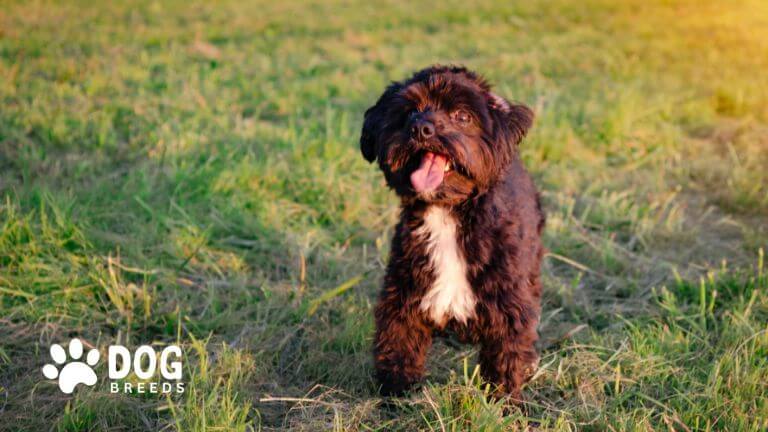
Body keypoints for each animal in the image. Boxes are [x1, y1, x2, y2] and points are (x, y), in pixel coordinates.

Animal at [360, 66, 544, 400]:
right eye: (410, 112)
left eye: (462, 116)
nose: (421, 129)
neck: (448, 213)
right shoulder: (404, 293)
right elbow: (397, 346)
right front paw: (395, 396)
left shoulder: (507, 303)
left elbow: (506, 357)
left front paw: (504, 402)